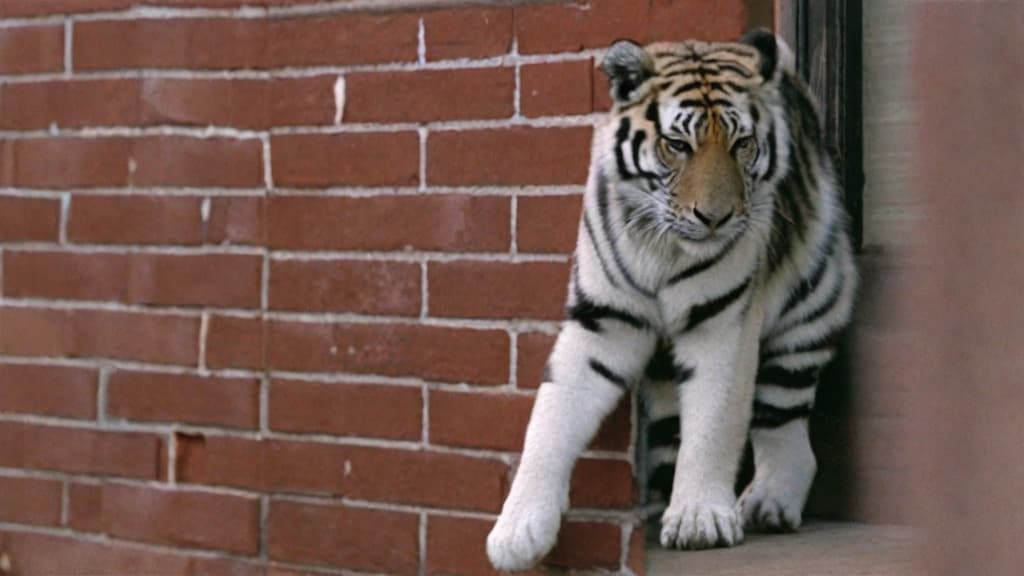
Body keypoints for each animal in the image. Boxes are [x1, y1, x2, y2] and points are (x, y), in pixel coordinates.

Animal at [485, 28, 856, 569]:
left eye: (742, 143)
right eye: (677, 144)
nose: (715, 218)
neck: (661, 247)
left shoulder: (722, 326)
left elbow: (714, 423)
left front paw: (700, 518)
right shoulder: (602, 323)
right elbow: (550, 417)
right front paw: (516, 531)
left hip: (810, 309)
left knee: (785, 422)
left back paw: (768, 503)